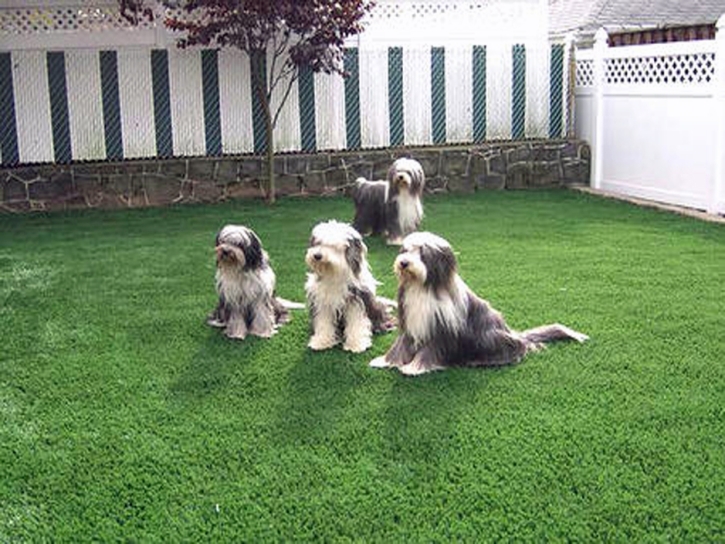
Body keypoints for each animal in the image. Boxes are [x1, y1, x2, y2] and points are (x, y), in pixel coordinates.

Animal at [306, 220, 396, 352]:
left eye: (333, 246)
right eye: (318, 243)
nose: (317, 256)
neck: (334, 274)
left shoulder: (356, 300)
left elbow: (356, 322)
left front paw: (356, 344)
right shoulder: (323, 302)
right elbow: (323, 322)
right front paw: (321, 341)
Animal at [368, 232, 588, 376]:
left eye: (423, 253)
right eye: (405, 250)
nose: (403, 263)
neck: (422, 288)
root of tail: (513, 333)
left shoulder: (441, 328)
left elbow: (429, 350)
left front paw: (413, 368)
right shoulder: (410, 322)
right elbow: (400, 346)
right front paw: (385, 361)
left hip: (488, 337)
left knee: (515, 350)